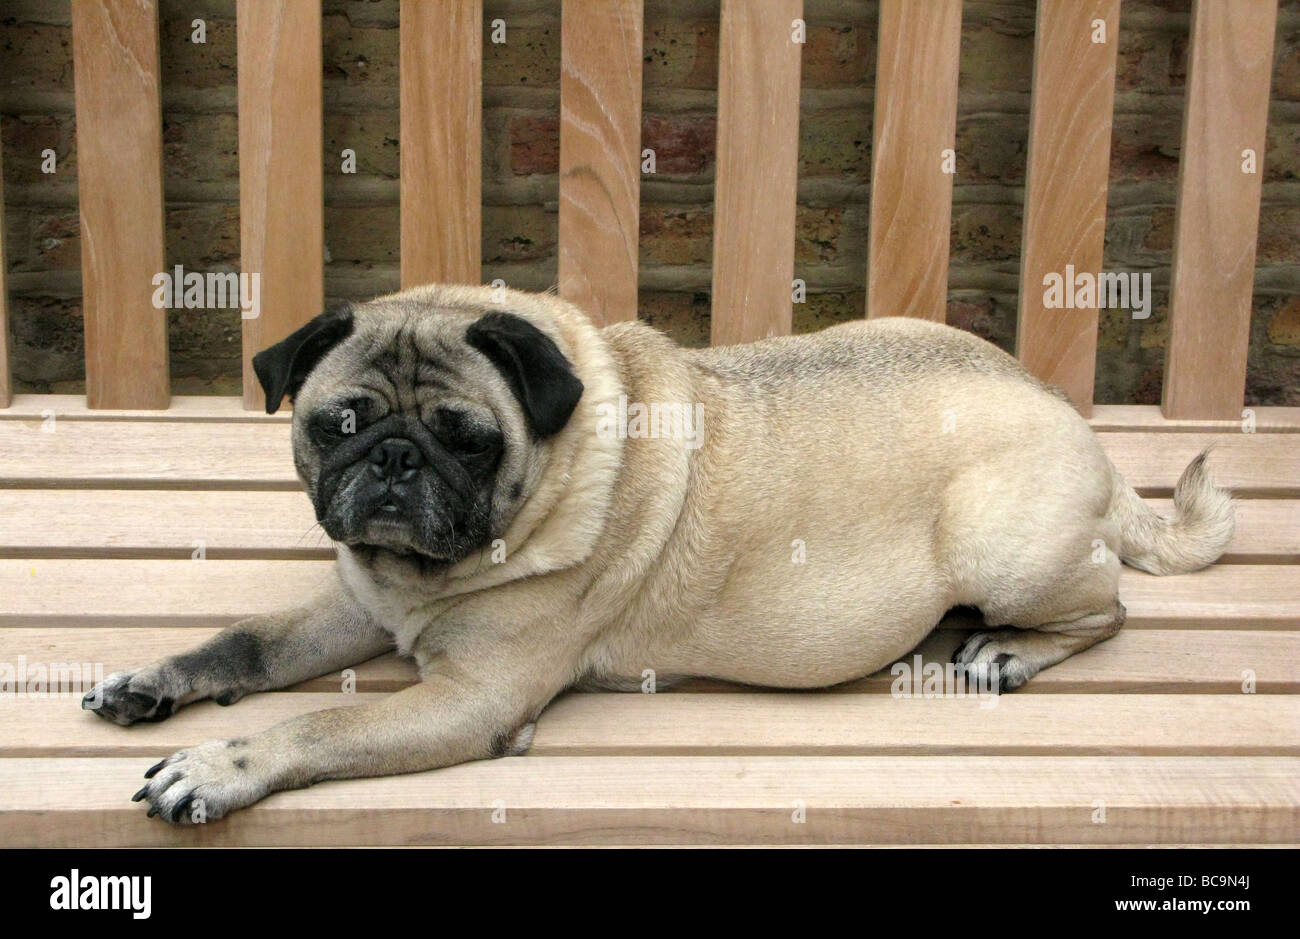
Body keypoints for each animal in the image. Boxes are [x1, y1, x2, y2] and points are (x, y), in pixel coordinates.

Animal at [83, 283, 1237, 821]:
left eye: (468, 438)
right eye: (340, 424)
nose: (396, 460)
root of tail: (1072, 419)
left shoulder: (471, 699)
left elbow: (316, 723)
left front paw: (217, 765)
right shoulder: (360, 603)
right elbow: (244, 643)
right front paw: (156, 680)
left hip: (1003, 550)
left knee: (1105, 607)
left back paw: (1006, 647)